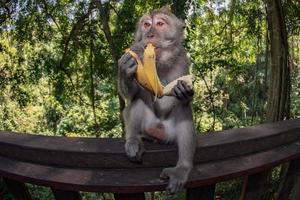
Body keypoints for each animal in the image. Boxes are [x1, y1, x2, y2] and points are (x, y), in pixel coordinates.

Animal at [117, 6, 197, 194]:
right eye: (146, 24)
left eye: (160, 24)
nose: (150, 35)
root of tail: (158, 132)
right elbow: (132, 96)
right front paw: (125, 68)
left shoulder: (183, 60)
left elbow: (164, 102)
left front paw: (183, 91)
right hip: (147, 126)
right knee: (138, 101)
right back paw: (134, 140)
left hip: (169, 133)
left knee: (183, 109)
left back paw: (182, 169)